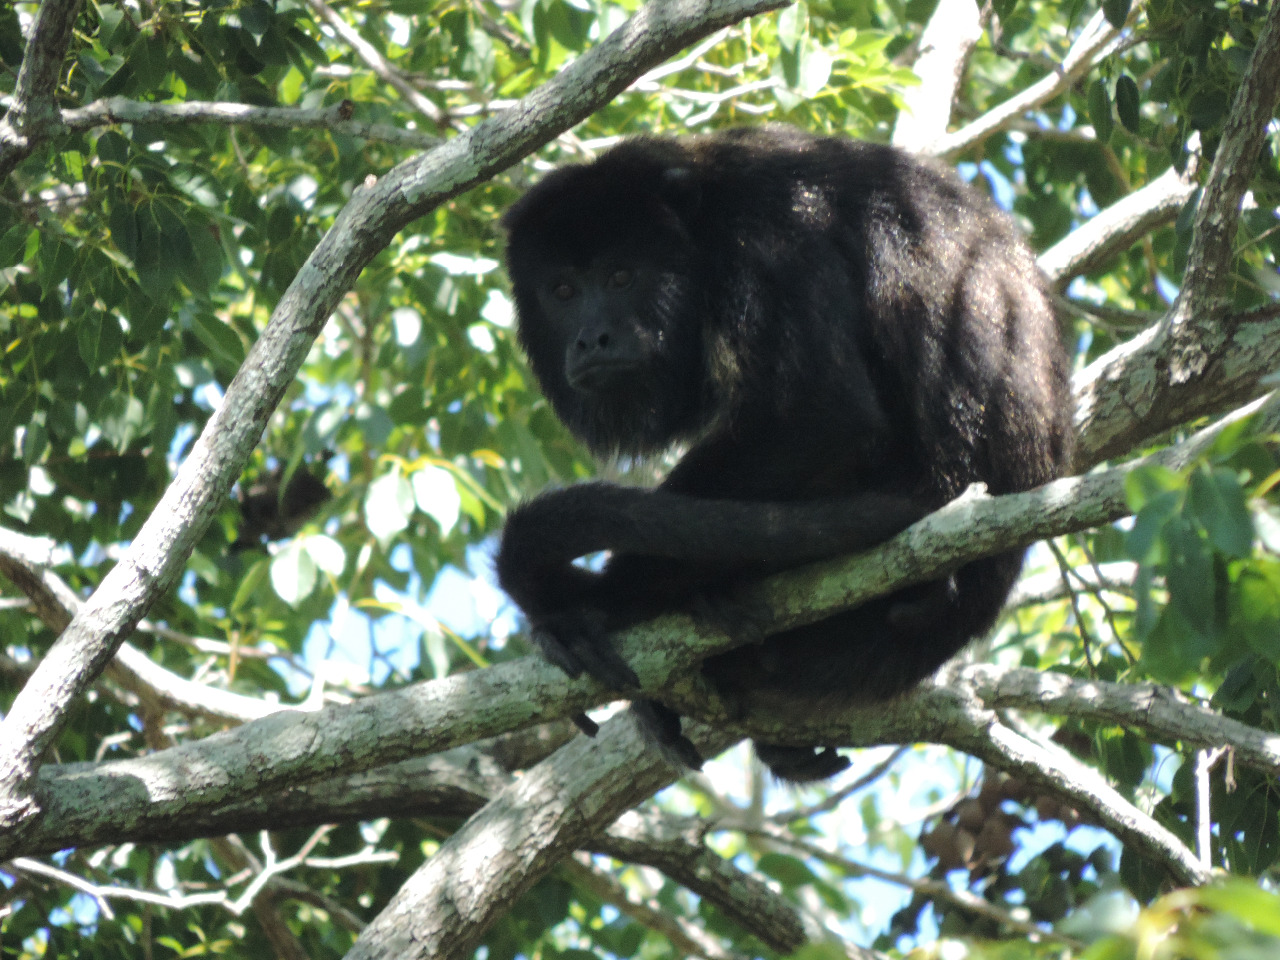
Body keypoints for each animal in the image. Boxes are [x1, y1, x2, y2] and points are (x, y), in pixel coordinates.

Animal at [495, 126, 1073, 781]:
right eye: (563, 290)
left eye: (621, 276)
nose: (591, 339)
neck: (701, 223)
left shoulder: (770, 241)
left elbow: (820, 414)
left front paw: (602, 600)